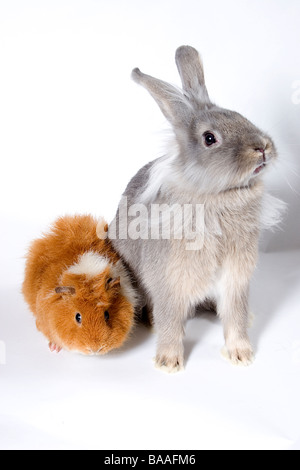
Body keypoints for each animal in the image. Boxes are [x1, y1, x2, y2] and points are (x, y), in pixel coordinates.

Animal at [109, 46, 282, 372]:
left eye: (239, 115)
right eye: (209, 138)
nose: (262, 147)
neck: (216, 194)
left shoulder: (235, 281)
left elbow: (235, 319)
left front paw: (242, 356)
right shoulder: (169, 281)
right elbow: (170, 322)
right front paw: (168, 362)